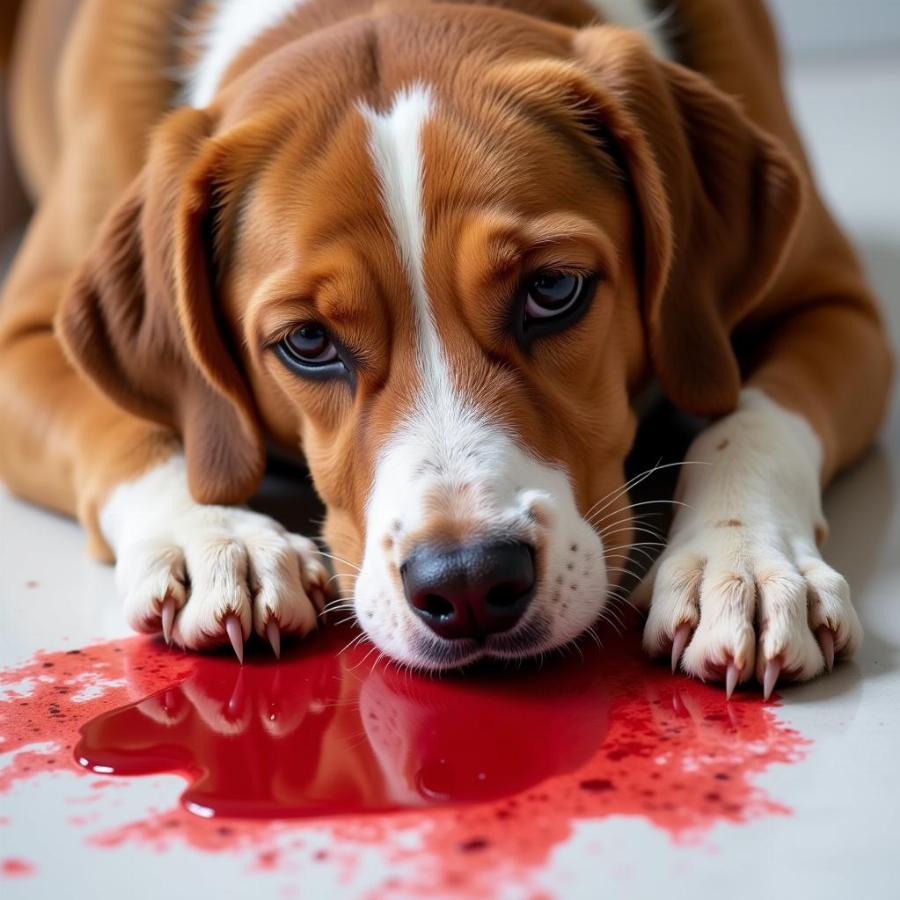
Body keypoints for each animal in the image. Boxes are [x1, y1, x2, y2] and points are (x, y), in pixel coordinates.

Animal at [0, 0, 888, 696]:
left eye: (553, 289)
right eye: (308, 341)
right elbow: (130, 427)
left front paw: (743, 559)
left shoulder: (835, 303)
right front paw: (213, 537)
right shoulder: (22, 336)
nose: (468, 585)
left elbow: (756, 420)